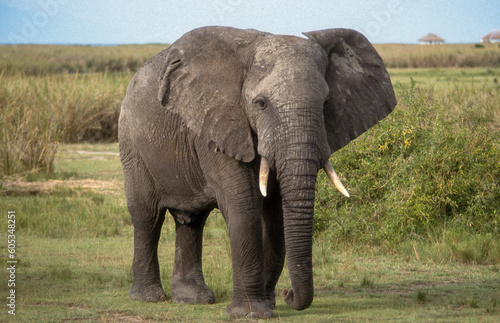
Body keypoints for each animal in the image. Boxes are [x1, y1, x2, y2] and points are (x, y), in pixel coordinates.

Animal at [119, 25, 396, 318]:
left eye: (326, 103)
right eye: (261, 103)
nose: (288, 294)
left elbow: (275, 214)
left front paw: (267, 304)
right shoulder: (219, 127)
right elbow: (244, 204)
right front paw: (252, 314)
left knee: (192, 221)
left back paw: (193, 300)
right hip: (132, 144)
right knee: (147, 216)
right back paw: (149, 297)